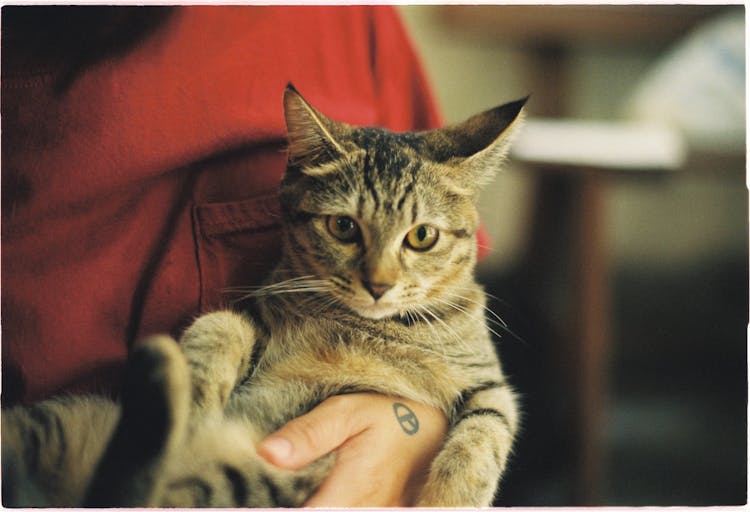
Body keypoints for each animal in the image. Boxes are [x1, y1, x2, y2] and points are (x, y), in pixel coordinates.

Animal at [1, 86, 528, 506]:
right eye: (343, 227)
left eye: (421, 236)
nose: (378, 285)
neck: (365, 325)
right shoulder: (255, 316)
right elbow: (219, 325)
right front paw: (197, 390)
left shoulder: (489, 381)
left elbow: (487, 433)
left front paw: (451, 497)